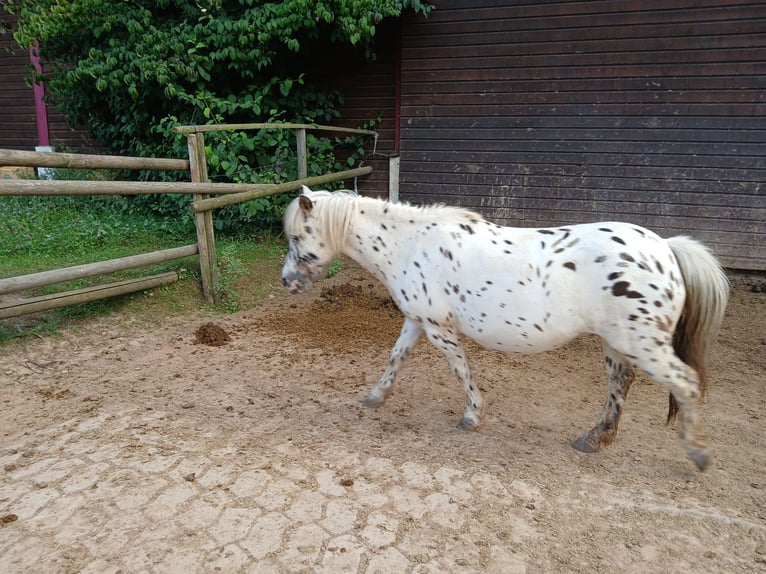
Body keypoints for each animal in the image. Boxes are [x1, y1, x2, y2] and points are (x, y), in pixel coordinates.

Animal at [282, 187, 732, 470]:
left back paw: (698, 455)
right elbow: (395, 358)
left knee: (685, 383)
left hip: (642, 344)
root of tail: (666, 249)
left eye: (297, 237)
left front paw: (472, 415)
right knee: (620, 386)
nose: (286, 281)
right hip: (619, 344)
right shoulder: (416, 321)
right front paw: (376, 397)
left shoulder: (439, 329)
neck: (410, 245)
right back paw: (594, 439)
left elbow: (461, 370)